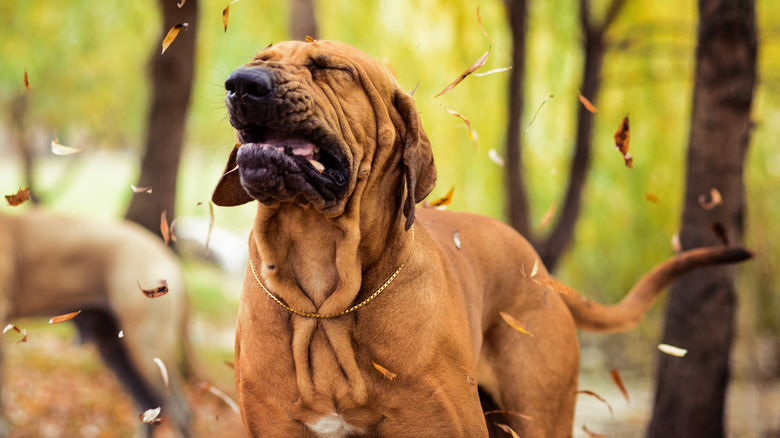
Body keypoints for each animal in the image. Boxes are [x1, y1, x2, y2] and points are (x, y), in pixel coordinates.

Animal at [212, 39, 748, 436]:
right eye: (260, 60)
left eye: (331, 69)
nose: (240, 84)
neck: (326, 300)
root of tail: (541, 270)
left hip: (538, 412)